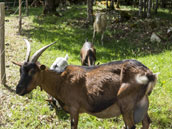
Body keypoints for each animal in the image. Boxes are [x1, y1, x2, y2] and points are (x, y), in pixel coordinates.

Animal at [13, 39, 159, 129]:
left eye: (33, 71)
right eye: (20, 70)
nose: (18, 89)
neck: (60, 81)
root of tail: (149, 74)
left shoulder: (74, 108)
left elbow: (74, 126)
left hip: (126, 105)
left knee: (132, 126)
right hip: (141, 103)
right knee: (146, 122)